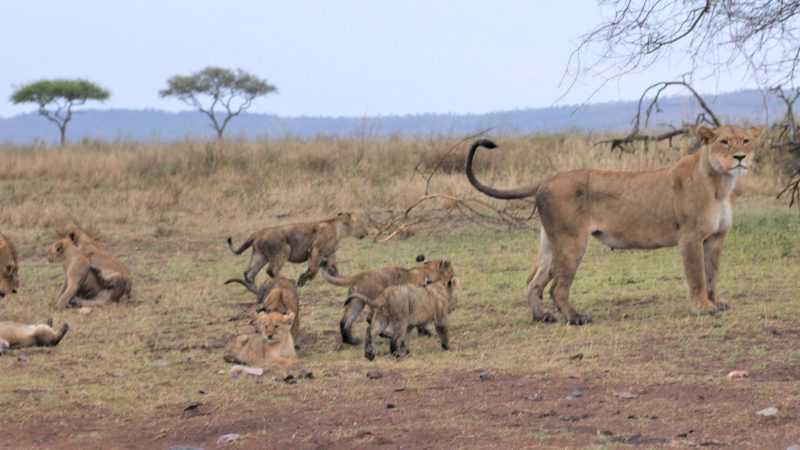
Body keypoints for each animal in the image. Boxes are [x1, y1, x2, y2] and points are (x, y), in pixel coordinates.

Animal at [227, 212, 369, 287]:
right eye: (361, 223)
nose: (367, 232)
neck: (339, 230)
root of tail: (257, 233)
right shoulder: (315, 250)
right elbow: (313, 269)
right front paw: (302, 280)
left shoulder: (330, 253)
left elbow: (334, 268)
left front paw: (339, 279)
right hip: (284, 250)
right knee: (271, 270)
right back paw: (288, 281)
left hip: (260, 256)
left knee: (249, 272)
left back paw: (253, 287)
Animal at [320, 257, 456, 345]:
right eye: (451, 279)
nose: (453, 284)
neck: (428, 271)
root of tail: (358, 276)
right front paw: (426, 333)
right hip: (374, 302)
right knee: (369, 320)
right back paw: (389, 335)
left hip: (357, 303)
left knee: (345, 321)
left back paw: (350, 341)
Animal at [466, 125, 763, 324]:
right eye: (723, 142)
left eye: (746, 140)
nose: (740, 157)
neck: (721, 184)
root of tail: (546, 180)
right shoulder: (690, 236)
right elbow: (697, 275)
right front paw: (702, 307)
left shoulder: (716, 237)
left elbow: (712, 274)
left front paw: (715, 301)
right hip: (572, 241)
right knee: (557, 287)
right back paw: (576, 318)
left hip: (551, 242)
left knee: (533, 281)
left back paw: (542, 317)